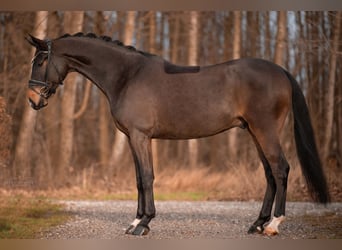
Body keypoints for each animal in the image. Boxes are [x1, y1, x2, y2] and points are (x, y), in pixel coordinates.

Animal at [25, 32, 330, 236]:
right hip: (255, 132)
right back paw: (257, 223)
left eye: (40, 60)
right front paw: (135, 222)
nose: (32, 99)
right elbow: (138, 179)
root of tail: (281, 71)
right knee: (269, 173)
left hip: (265, 131)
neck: (127, 75)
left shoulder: (140, 136)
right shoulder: (132, 138)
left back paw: (274, 224)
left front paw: (144, 223)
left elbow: (147, 177)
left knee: (280, 169)